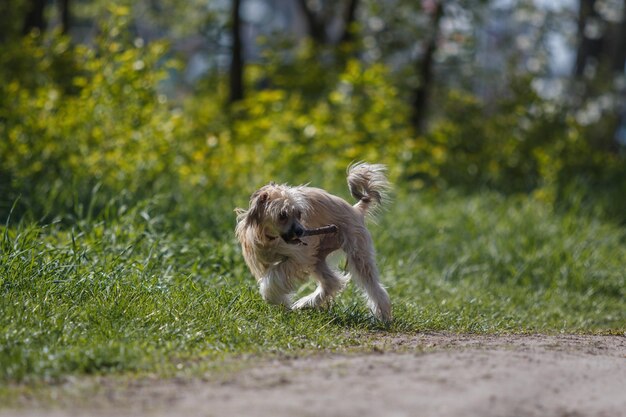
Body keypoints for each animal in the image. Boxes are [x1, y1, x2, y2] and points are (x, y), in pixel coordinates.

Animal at [234, 162, 390, 322]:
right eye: (282, 215)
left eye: (299, 213)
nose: (301, 231)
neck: (270, 239)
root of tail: (356, 210)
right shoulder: (262, 259)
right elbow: (271, 278)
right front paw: (280, 303)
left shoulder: (299, 256)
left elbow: (272, 279)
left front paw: (275, 299)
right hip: (318, 257)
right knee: (332, 282)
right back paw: (306, 304)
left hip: (357, 254)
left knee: (374, 287)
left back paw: (382, 317)